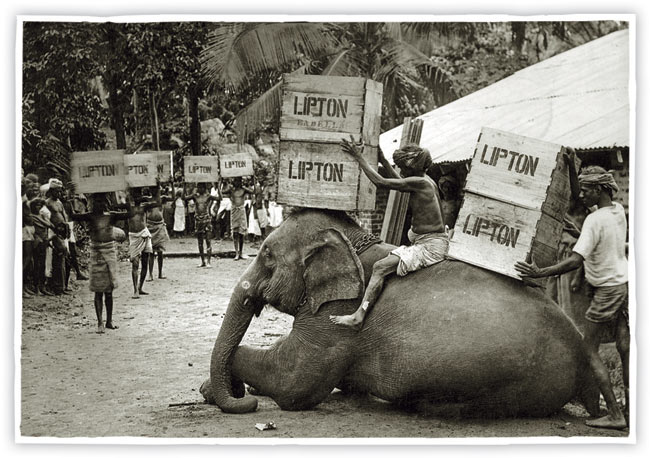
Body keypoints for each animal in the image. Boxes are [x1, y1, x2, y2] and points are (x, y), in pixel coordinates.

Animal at [199, 209, 596, 416]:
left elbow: (293, 384)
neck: (355, 241)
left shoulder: (335, 315)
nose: (244, 399)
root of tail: (583, 352)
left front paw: (218, 388)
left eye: (266, 256)